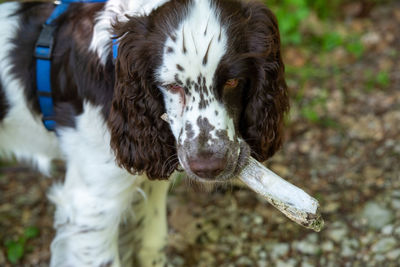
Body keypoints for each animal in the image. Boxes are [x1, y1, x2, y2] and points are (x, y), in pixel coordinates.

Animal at [0, 0, 290, 266]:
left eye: (233, 81)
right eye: (171, 86)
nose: (208, 167)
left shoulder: (150, 187)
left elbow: (152, 243)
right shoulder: (91, 206)